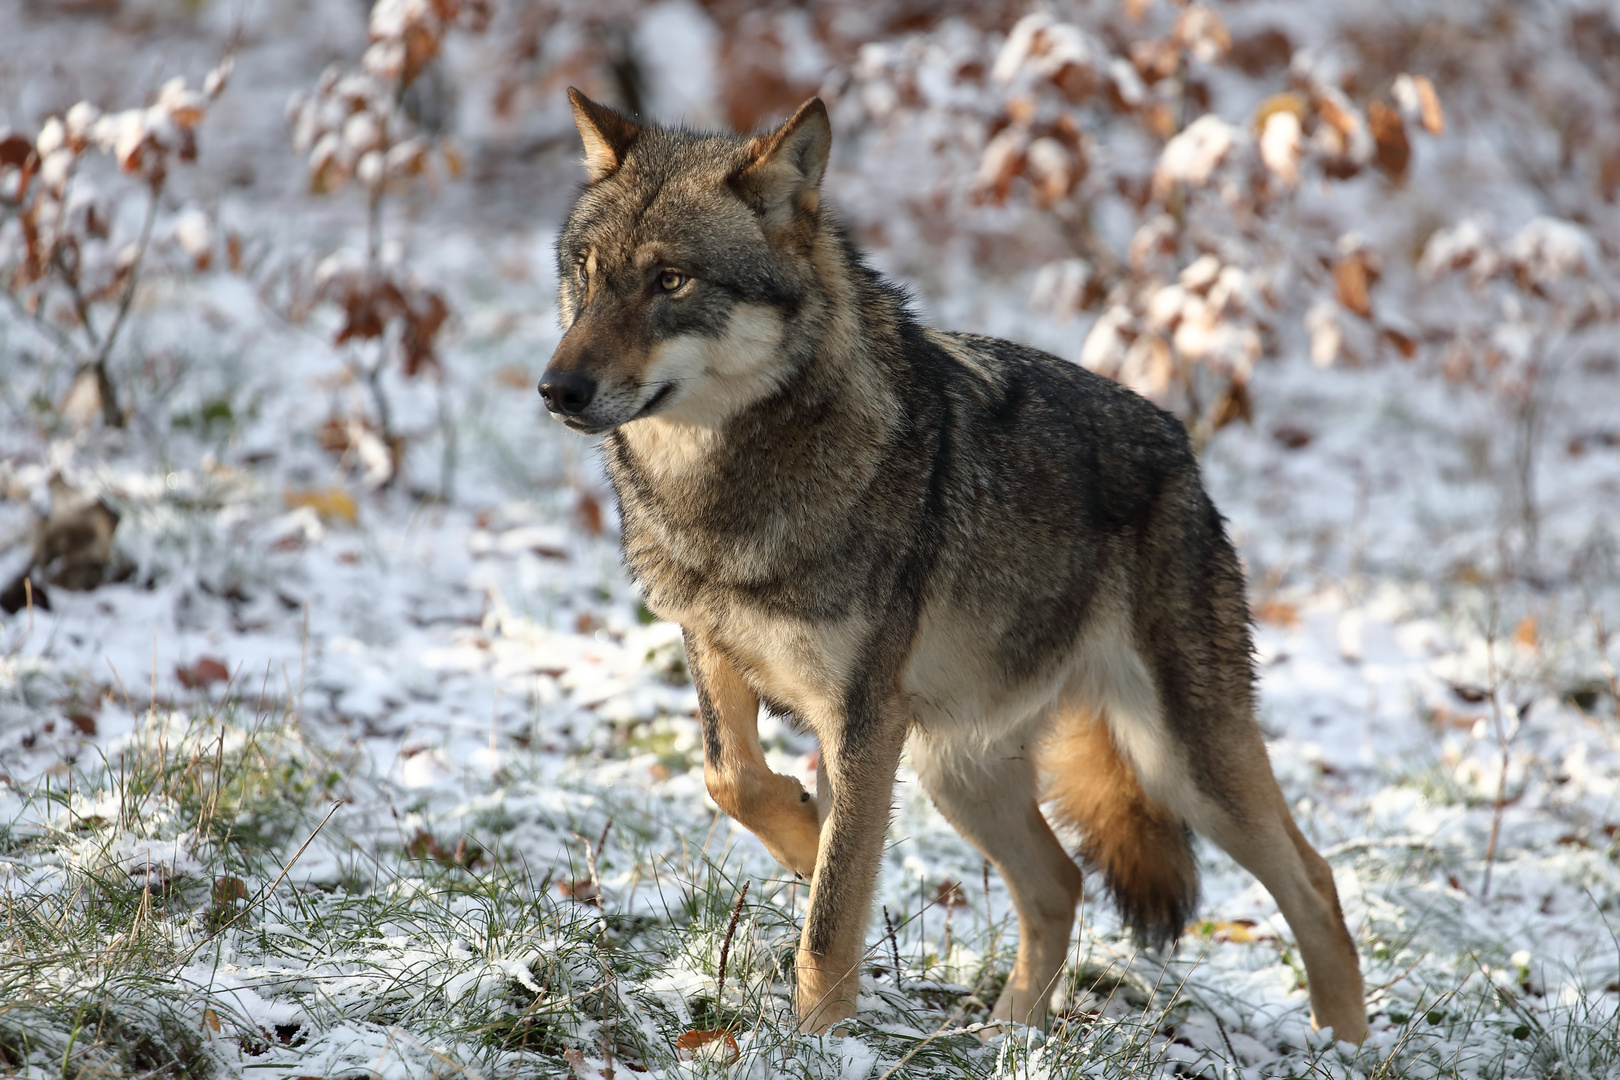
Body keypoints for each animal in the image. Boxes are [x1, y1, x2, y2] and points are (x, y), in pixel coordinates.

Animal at [544, 88, 1367, 1042]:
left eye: (670, 281)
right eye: (587, 271)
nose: (555, 389)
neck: (726, 494)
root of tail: (1182, 451)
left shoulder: (865, 719)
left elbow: (831, 917)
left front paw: (819, 1039)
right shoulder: (718, 655)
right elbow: (735, 782)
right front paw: (804, 836)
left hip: (1179, 762)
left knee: (1315, 883)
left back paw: (1344, 1049)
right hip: (959, 770)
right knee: (1060, 883)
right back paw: (1008, 1036)